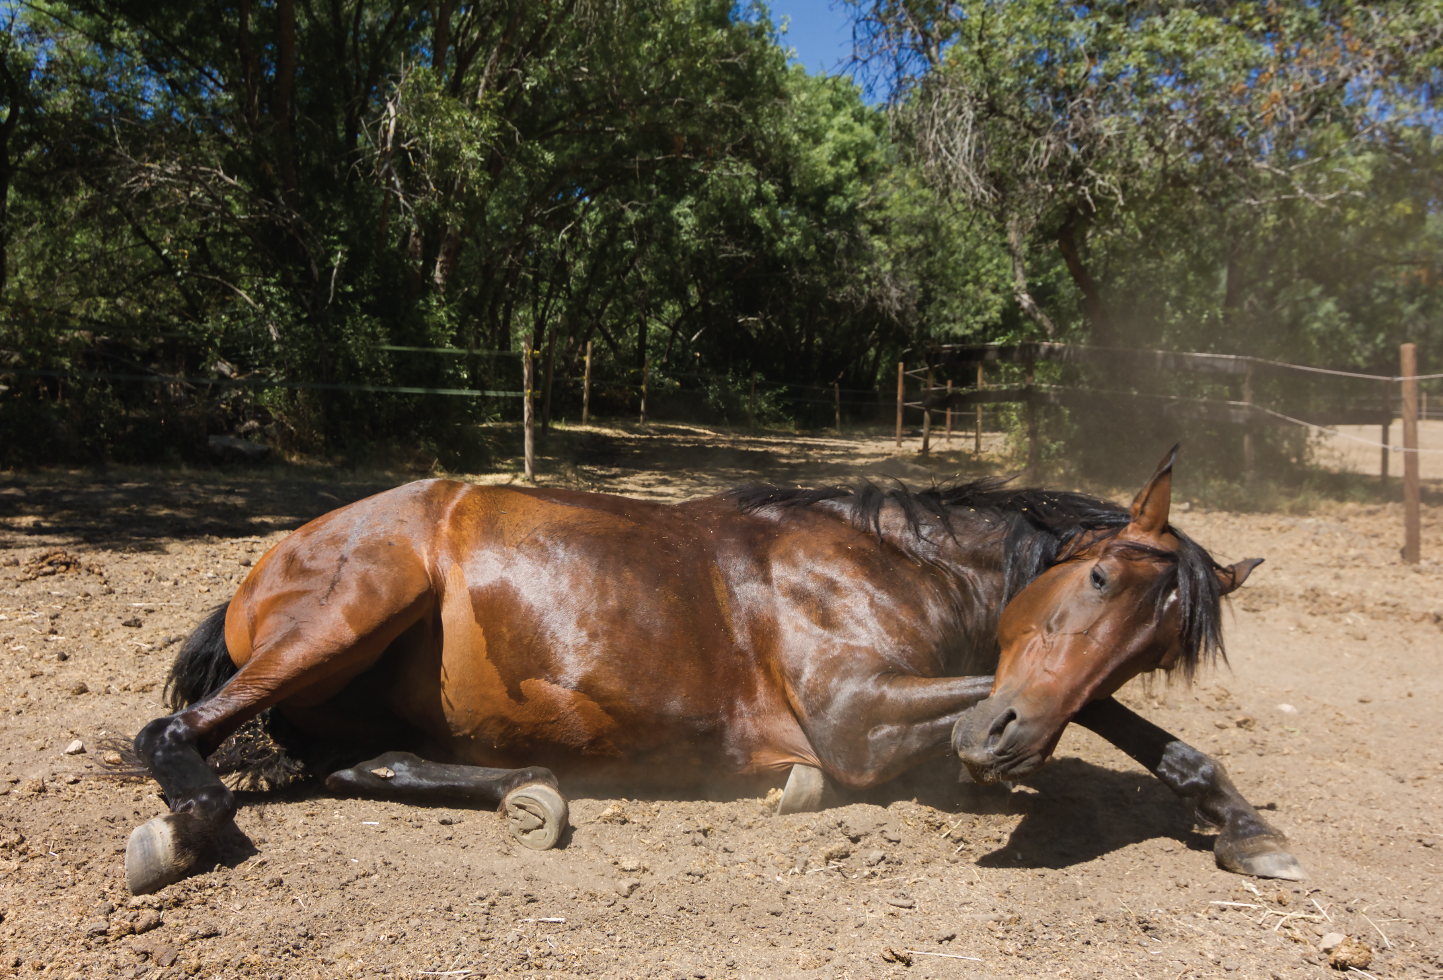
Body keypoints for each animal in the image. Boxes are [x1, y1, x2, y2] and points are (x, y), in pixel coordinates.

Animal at [118, 447, 1304, 894]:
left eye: (1156, 645)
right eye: (1095, 576)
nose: (994, 746)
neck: (887, 558)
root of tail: (277, 551)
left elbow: (1125, 726)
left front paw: (1242, 824)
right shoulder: (857, 714)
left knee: (353, 764)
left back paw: (527, 791)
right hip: (354, 607)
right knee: (176, 737)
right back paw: (182, 833)